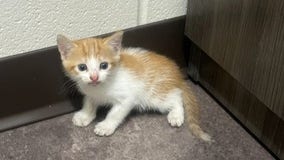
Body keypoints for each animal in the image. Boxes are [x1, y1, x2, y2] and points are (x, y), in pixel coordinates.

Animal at [56, 31, 211, 141]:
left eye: (104, 65)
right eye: (82, 67)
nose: (94, 77)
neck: (100, 87)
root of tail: (177, 74)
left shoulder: (127, 98)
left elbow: (115, 113)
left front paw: (106, 126)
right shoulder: (90, 91)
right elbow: (89, 102)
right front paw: (85, 115)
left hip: (155, 95)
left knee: (176, 96)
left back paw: (176, 115)